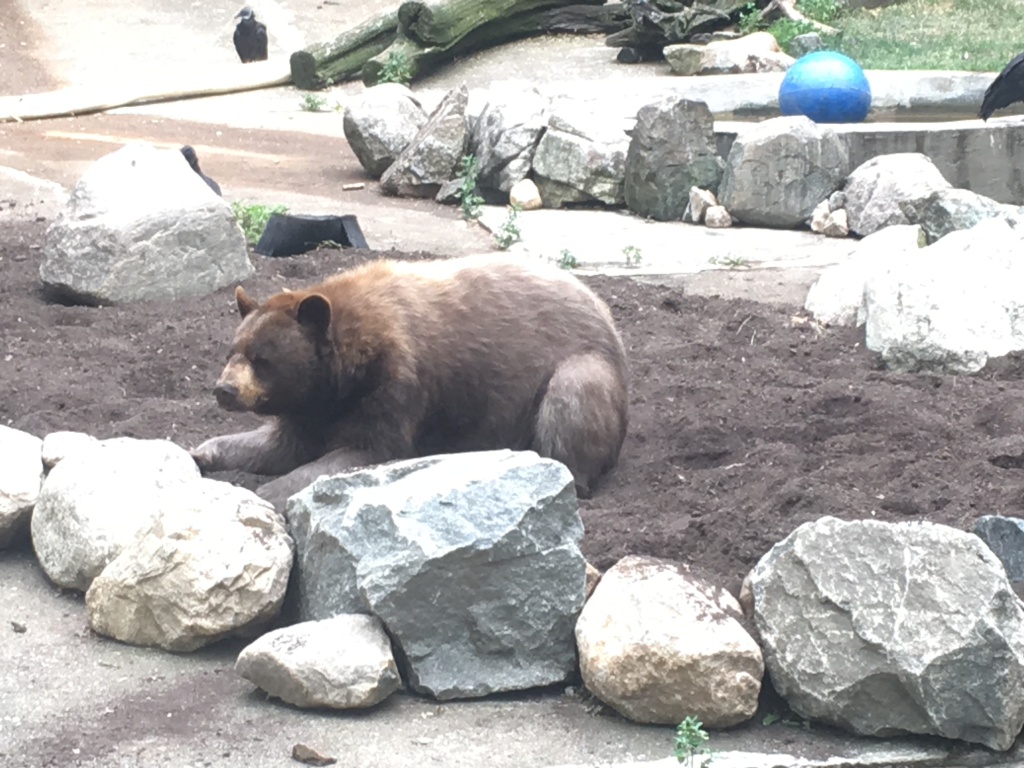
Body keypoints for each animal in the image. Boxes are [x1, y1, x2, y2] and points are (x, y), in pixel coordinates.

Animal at [191, 254, 629, 509]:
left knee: (572, 402)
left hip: (579, 365)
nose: (225, 390)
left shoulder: (398, 381)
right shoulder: (311, 408)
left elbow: (366, 449)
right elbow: (277, 444)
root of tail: (608, 317)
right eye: (232, 351)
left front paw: (265, 492)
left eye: (262, 360)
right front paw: (202, 452)